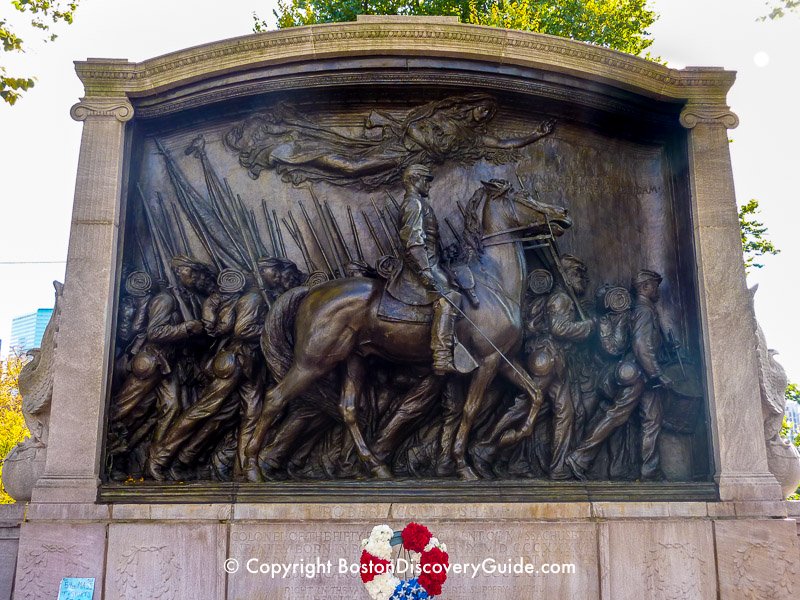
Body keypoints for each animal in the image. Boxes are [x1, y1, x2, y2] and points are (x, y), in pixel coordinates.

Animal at [244, 180, 568, 480]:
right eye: (524, 196)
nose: (563, 214)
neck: (493, 281)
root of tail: (310, 293)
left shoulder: (504, 359)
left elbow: (534, 393)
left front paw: (510, 437)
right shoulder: (487, 360)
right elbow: (470, 410)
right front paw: (464, 466)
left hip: (354, 359)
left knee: (347, 408)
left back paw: (376, 466)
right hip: (313, 360)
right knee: (275, 399)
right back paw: (252, 468)